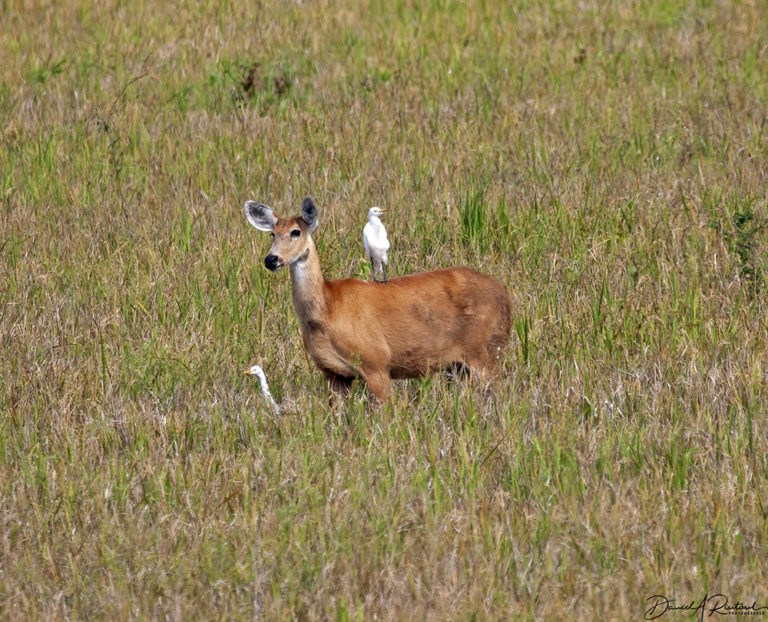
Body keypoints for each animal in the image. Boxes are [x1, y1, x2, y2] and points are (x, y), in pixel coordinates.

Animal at [243, 196, 512, 404]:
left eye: (295, 232)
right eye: (272, 234)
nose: (271, 260)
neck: (327, 311)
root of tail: (505, 293)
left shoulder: (376, 362)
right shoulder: (332, 372)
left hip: (487, 351)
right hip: (459, 365)